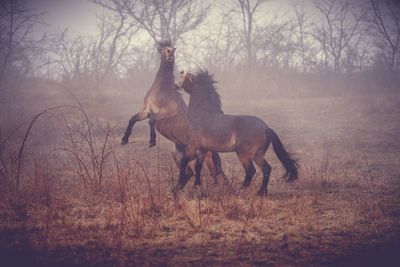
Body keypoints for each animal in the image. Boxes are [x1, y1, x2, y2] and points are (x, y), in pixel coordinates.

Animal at [119, 42, 225, 188]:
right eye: (164, 49)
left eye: (172, 49)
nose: (170, 54)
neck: (162, 89)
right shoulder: (146, 110)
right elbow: (132, 119)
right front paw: (124, 140)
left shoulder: (165, 112)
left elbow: (152, 121)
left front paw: (152, 141)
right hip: (177, 154)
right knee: (190, 173)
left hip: (205, 157)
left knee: (214, 173)